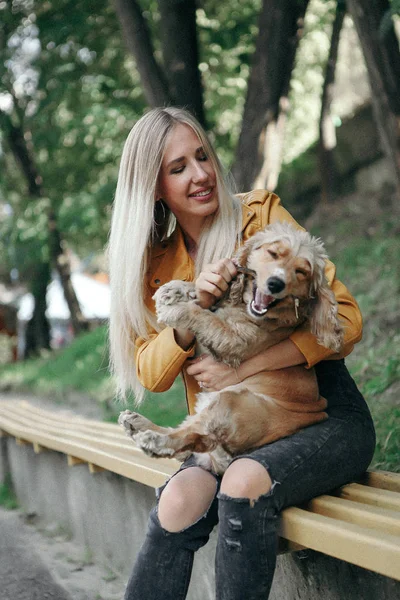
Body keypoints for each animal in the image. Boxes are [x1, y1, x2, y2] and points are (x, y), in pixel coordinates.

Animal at [119, 220, 344, 474]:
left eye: (301, 272)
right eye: (273, 253)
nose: (275, 284)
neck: (245, 306)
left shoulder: (233, 341)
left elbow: (204, 316)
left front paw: (176, 309)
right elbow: (206, 293)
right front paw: (178, 289)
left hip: (228, 401)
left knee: (193, 436)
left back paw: (153, 439)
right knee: (192, 437)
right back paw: (136, 423)